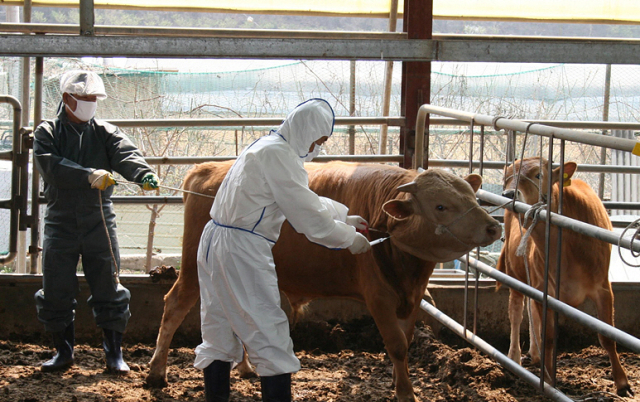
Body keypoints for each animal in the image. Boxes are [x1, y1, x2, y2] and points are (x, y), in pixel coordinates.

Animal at [148, 161, 502, 402]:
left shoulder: (413, 297)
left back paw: (246, 368)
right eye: (441, 206)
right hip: (193, 270)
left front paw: (396, 380)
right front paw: (405, 391)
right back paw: (156, 372)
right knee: (174, 306)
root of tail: (208, 168)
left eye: (472, 197)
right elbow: (397, 344)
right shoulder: (379, 297)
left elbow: (408, 339)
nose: (493, 227)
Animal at [498, 156, 632, 396]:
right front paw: (549, 380)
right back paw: (515, 357)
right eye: (506, 177)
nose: (508, 194)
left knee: (531, 311)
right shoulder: (545, 289)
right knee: (516, 311)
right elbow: (549, 337)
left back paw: (535, 355)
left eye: (538, 174)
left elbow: (607, 336)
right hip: (515, 273)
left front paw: (622, 383)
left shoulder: (603, 288)